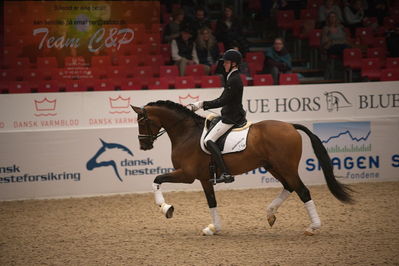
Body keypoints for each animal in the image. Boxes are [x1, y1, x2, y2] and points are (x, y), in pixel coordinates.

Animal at [131, 101, 354, 236]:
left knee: (303, 191)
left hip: (286, 167)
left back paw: (313, 227)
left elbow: (157, 180)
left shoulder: (187, 175)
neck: (187, 133)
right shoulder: (204, 179)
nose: (144, 145)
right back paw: (270, 213)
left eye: (142, 122)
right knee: (290, 187)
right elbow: (211, 202)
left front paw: (166, 208)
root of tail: (291, 126)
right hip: (273, 166)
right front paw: (214, 228)